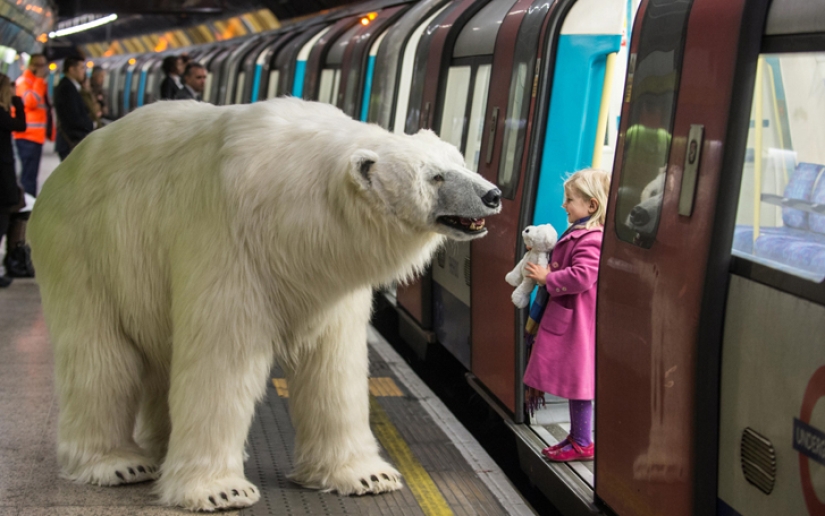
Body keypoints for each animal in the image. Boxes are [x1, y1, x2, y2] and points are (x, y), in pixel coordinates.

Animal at [27, 97, 501, 512]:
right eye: (435, 176)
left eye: (459, 160)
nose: (493, 195)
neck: (294, 211)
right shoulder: (229, 240)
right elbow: (221, 360)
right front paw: (220, 491)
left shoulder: (329, 279)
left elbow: (334, 365)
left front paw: (368, 476)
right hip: (84, 251)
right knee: (102, 358)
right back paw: (118, 463)